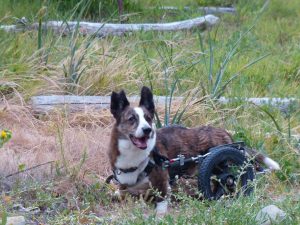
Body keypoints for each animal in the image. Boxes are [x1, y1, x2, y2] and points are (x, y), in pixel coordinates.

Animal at [108, 85, 282, 214]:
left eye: (149, 119)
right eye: (132, 119)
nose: (147, 130)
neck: (134, 156)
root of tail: (225, 132)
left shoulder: (162, 183)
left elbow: (161, 204)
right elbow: (121, 191)